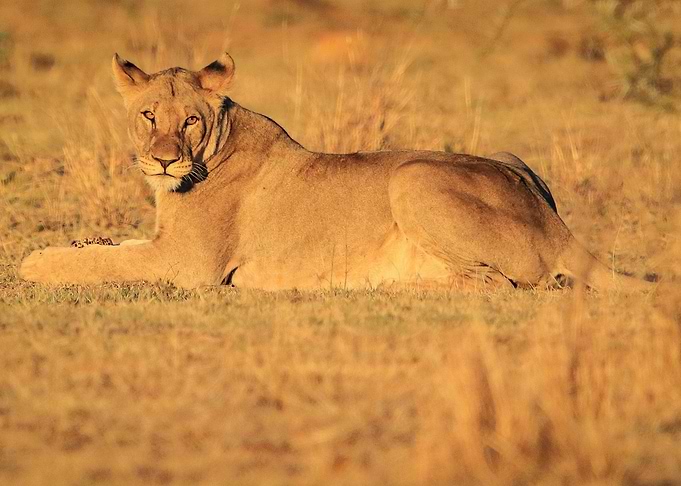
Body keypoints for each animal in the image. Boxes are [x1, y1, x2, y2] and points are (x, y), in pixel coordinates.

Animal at [19, 53, 652, 291]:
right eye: (148, 115)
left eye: (191, 120)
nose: (164, 158)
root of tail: (558, 224)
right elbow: (110, 246)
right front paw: (84, 240)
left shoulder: (187, 265)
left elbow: (98, 263)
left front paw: (33, 261)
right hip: (509, 160)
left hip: (412, 177)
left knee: (495, 283)